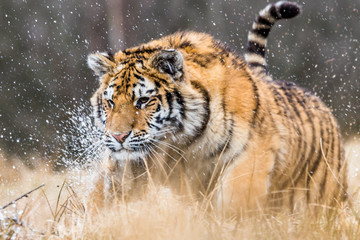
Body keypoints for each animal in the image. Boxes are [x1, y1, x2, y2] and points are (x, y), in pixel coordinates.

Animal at [86, 0, 348, 215]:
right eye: (110, 102)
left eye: (142, 101)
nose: (118, 137)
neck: (180, 141)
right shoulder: (132, 163)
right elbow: (106, 193)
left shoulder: (252, 152)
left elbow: (235, 197)